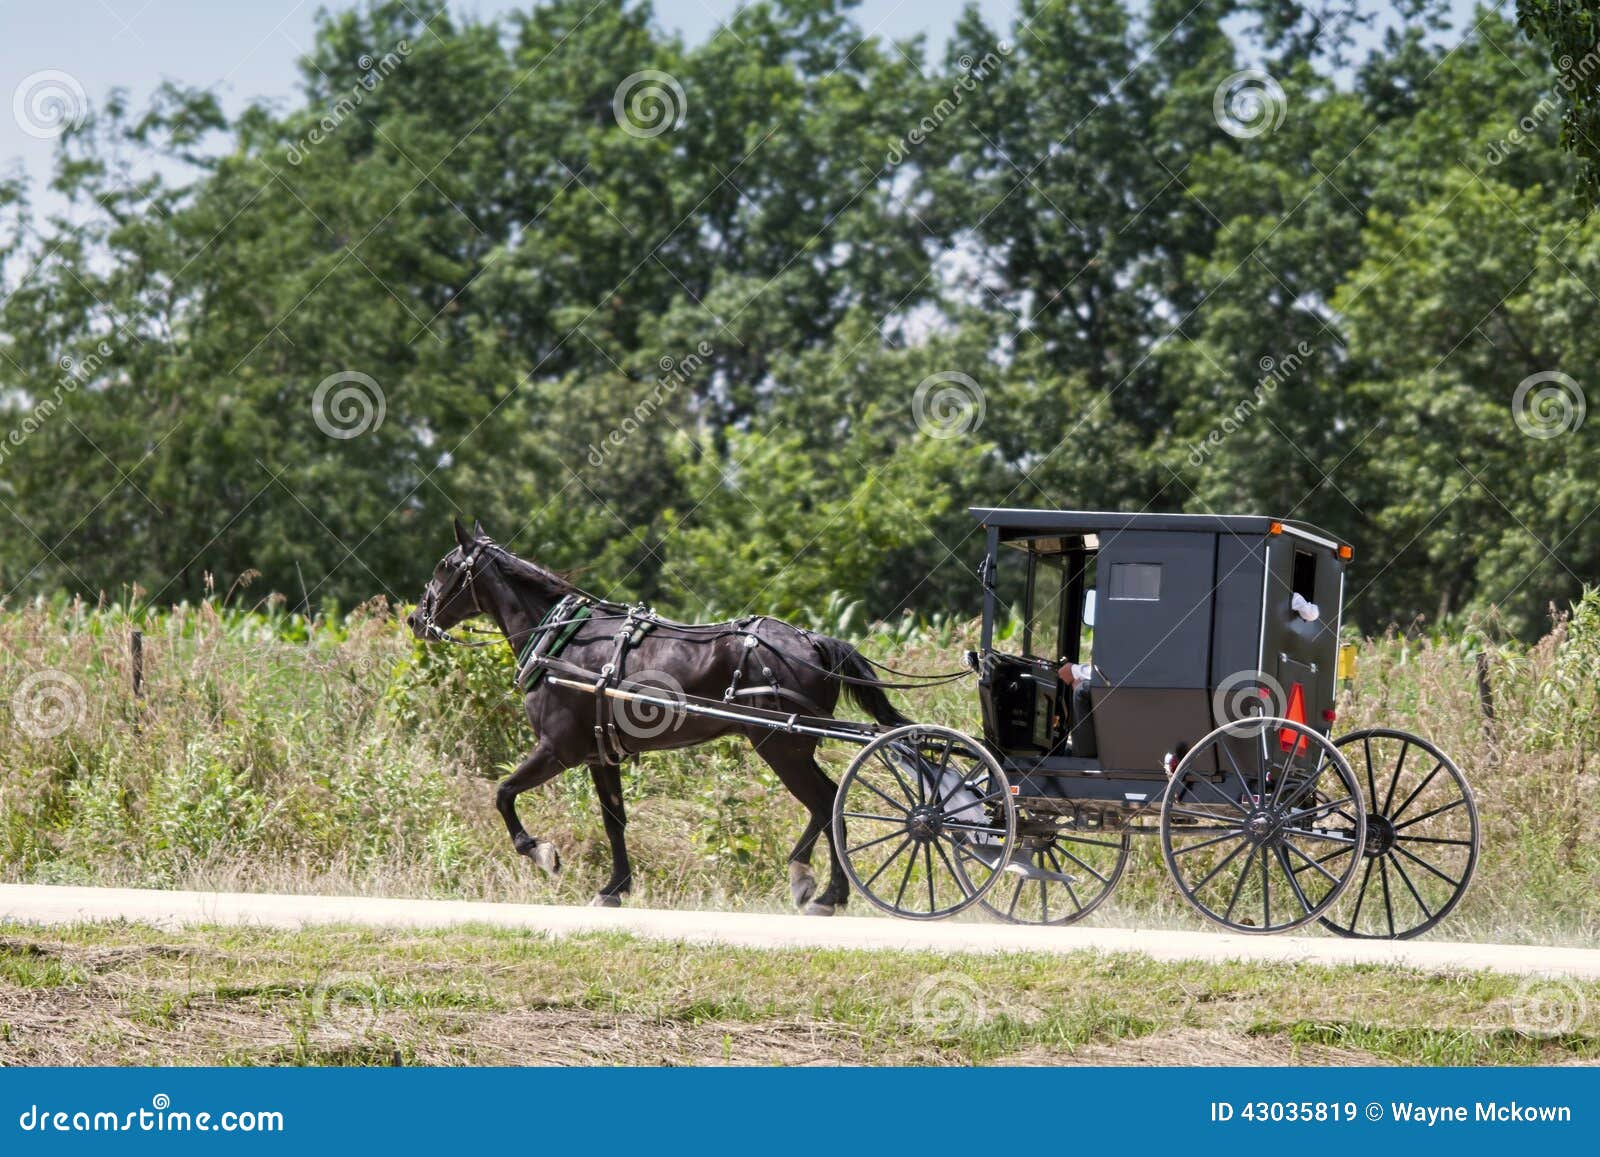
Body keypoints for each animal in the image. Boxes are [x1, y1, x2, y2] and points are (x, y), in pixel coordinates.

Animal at [406, 521, 908, 915]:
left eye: (445, 567)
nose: (415, 618)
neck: (561, 642)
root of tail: (812, 641)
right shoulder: (600, 755)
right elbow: (614, 820)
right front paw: (614, 888)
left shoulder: (558, 749)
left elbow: (503, 793)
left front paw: (541, 852)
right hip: (788, 747)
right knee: (827, 804)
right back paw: (818, 885)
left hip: (780, 746)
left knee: (826, 804)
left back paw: (819, 889)